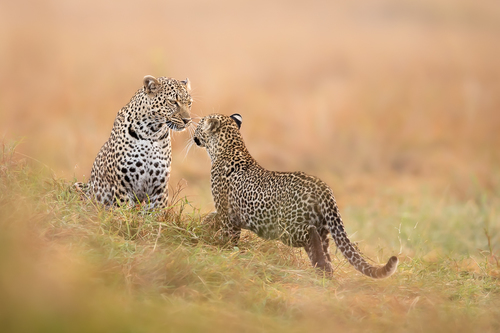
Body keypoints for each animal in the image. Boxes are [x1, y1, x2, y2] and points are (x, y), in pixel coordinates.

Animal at [75, 75, 192, 208]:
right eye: (173, 102)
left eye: (189, 103)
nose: (187, 120)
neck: (152, 133)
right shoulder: (123, 187)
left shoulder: (159, 189)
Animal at [191, 113, 398, 278]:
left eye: (200, 123)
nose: (193, 133)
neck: (228, 147)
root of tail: (323, 188)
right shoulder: (228, 214)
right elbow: (213, 218)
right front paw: (204, 228)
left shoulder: (227, 214)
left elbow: (227, 236)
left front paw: (221, 250)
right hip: (323, 229)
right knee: (325, 255)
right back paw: (324, 279)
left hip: (287, 228)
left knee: (310, 237)